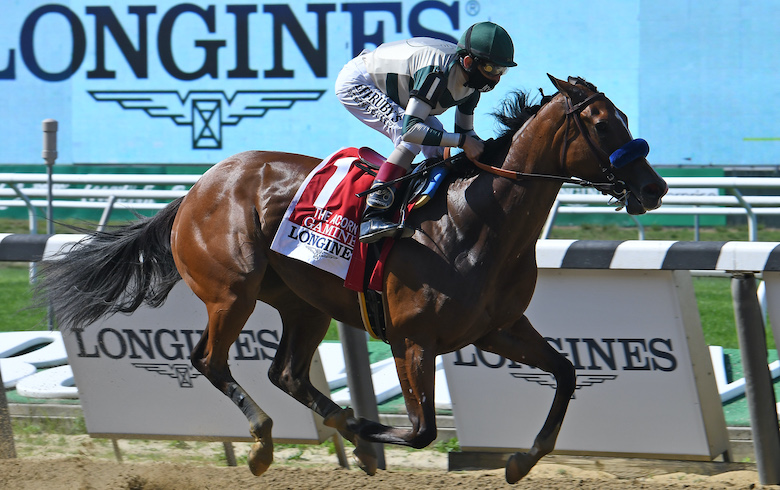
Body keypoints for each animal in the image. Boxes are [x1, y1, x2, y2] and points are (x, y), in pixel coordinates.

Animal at [35, 75, 667, 484]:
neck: (476, 221)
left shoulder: (498, 328)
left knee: (285, 371)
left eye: (624, 118)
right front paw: (366, 430)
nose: (655, 186)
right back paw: (267, 442)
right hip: (232, 290)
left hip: (304, 303)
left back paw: (335, 425)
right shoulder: (414, 340)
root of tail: (195, 189)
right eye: (603, 123)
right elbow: (421, 431)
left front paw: (519, 460)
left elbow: (565, 373)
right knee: (210, 361)